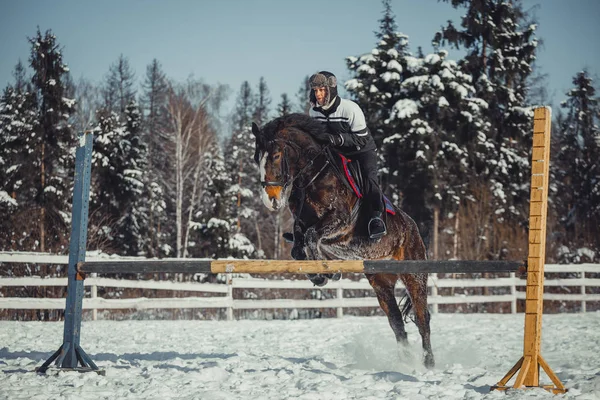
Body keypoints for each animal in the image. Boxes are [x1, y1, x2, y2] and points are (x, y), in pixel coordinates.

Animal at [251, 113, 434, 368]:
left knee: (422, 316)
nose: (270, 200)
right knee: (396, 321)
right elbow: (299, 247)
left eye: (276, 156)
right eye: (256, 158)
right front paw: (323, 274)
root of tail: (415, 228)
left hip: (414, 274)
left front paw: (324, 273)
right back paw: (405, 362)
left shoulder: (340, 222)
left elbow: (311, 237)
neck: (312, 176)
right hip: (381, 281)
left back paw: (428, 363)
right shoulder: (301, 224)